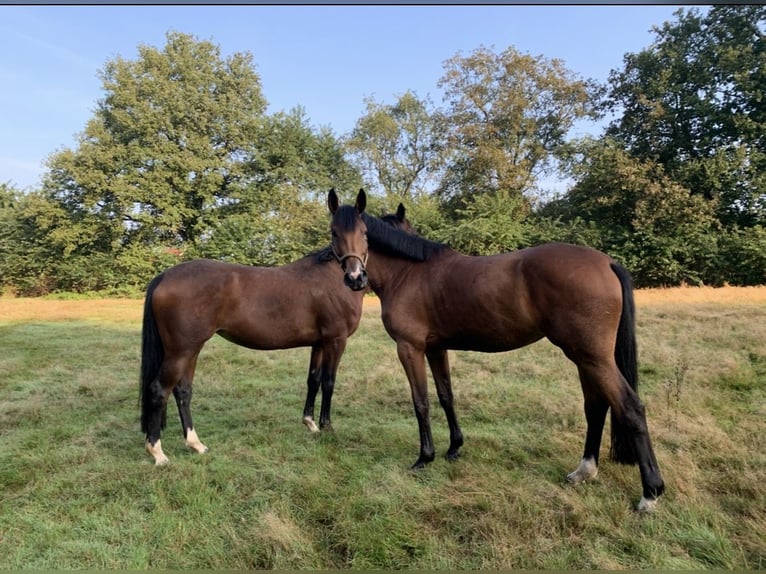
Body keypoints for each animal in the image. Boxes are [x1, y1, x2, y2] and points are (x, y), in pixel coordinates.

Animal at [139, 247, 367, 465]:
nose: (357, 279)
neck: (333, 275)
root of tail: (164, 276)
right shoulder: (336, 341)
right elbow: (328, 383)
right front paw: (326, 427)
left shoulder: (319, 344)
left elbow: (314, 380)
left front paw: (311, 424)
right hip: (181, 352)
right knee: (159, 390)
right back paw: (158, 453)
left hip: (191, 350)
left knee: (183, 391)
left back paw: (196, 445)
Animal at [327, 188, 664, 511]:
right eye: (333, 232)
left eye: (365, 233)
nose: (355, 278)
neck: (409, 273)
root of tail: (606, 262)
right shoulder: (436, 349)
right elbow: (446, 396)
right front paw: (454, 448)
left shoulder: (410, 348)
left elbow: (420, 402)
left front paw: (425, 457)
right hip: (585, 358)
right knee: (595, 406)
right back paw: (584, 471)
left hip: (593, 358)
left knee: (631, 408)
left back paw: (650, 493)